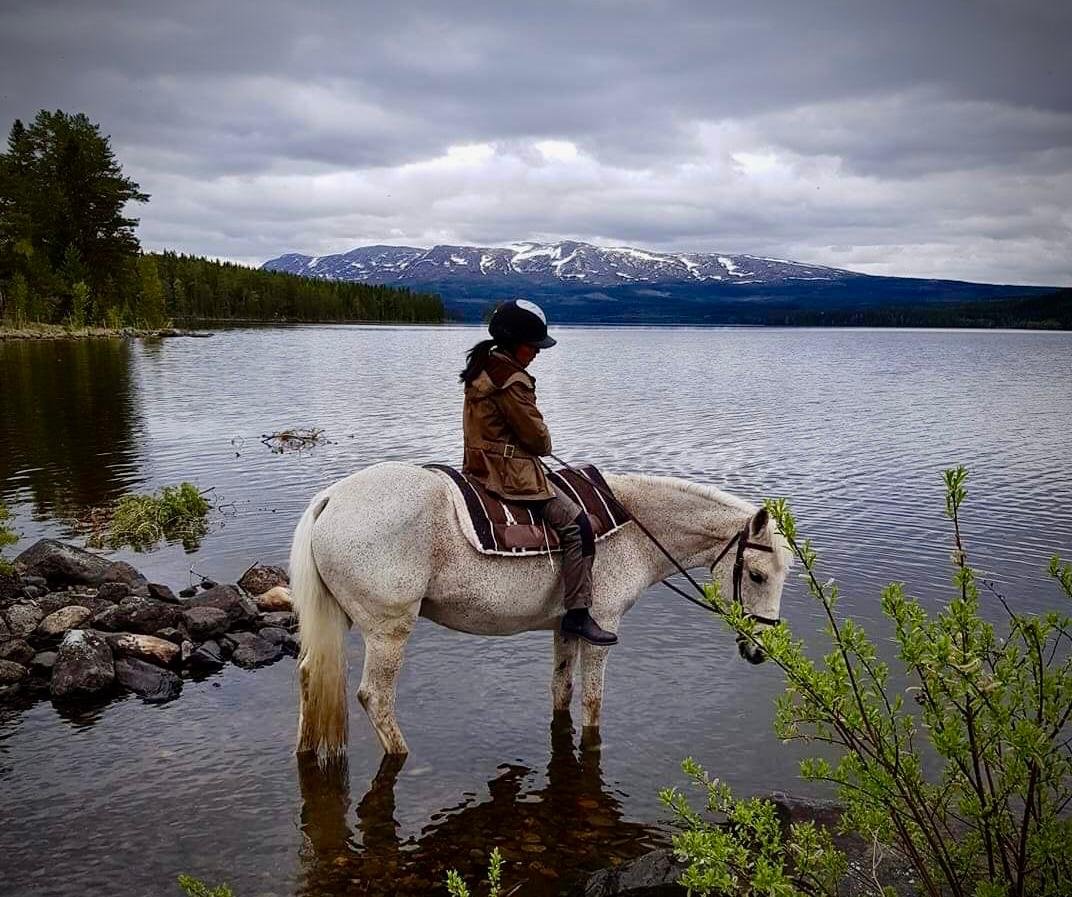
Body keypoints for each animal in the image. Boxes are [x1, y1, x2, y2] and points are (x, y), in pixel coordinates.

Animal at [290, 461, 792, 758]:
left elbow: (561, 690)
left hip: (338, 620)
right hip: (388, 630)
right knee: (375, 698)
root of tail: (331, 499)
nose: (759, 650)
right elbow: (592, 701)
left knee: (310, 675)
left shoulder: (567, 626)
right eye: (758, 576)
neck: (634, 526)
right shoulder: (602, 628)